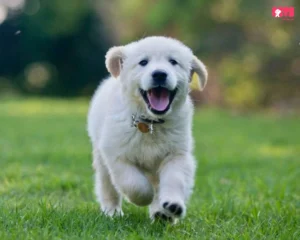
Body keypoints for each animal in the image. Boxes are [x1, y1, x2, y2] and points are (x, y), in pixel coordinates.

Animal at [88, 35, 207, 221]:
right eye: (143, 62)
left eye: (173, 62)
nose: (159, 74)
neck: (151, 123)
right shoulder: (116, 154)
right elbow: (134, 183)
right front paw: (145, 197)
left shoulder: (177, 155)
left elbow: (175, 179)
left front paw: (172, 204)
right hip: (101, 161)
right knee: (107, 187)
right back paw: (112, 211)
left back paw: (161, 212)